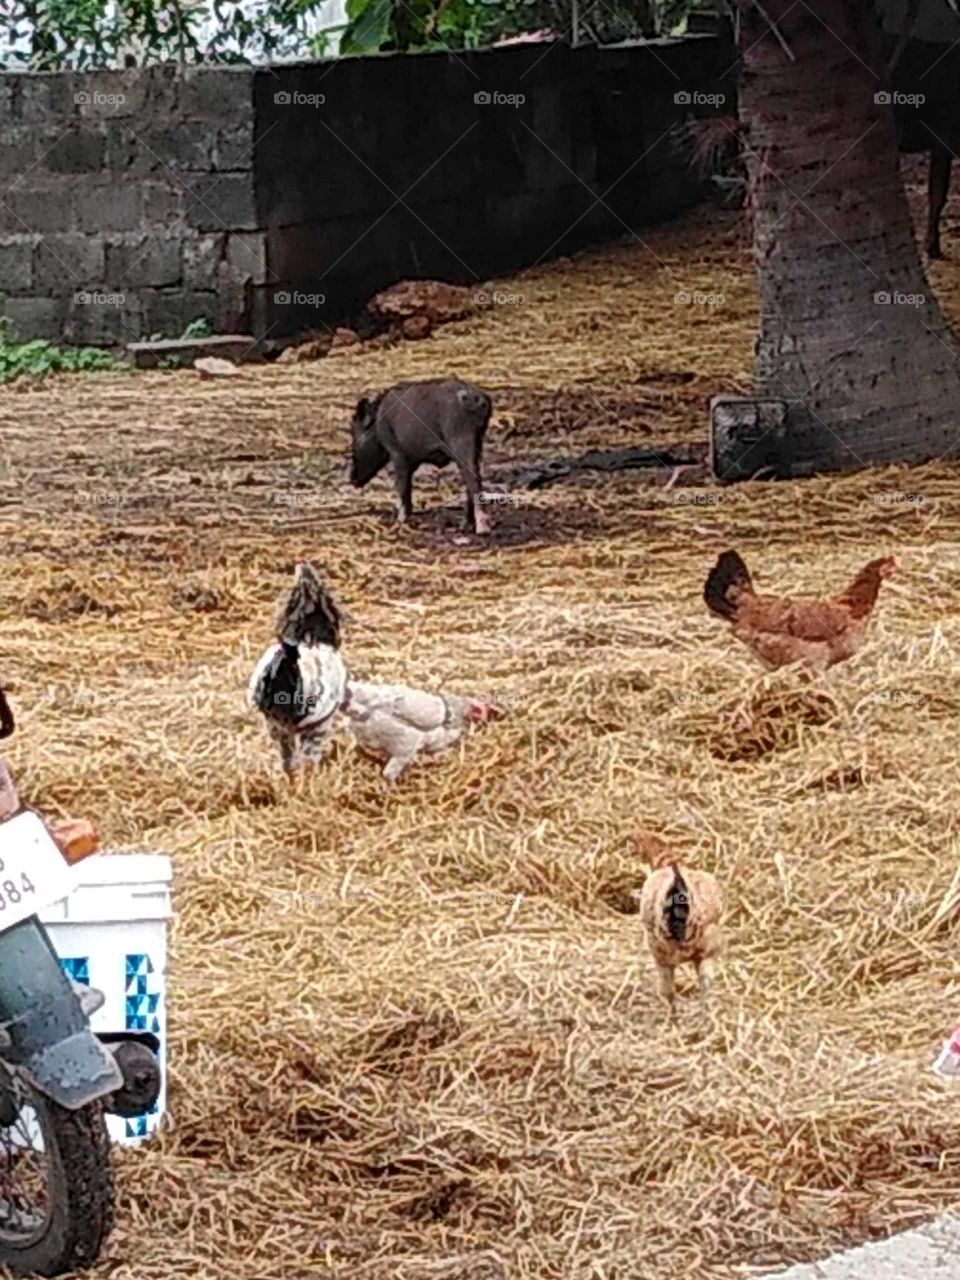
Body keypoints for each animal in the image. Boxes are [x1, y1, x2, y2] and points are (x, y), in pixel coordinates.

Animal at [348, 378, 494, 534]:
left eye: (355, 436)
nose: (352, 479)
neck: (378, 422)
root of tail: (479, 399)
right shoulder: (412, 460)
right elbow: (408, 488)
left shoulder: (397, 454)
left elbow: (401, 487)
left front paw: (400, 519)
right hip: (477, 443)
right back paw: (465, 525)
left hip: (461, 442)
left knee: (472, 478)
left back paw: (482, 527)